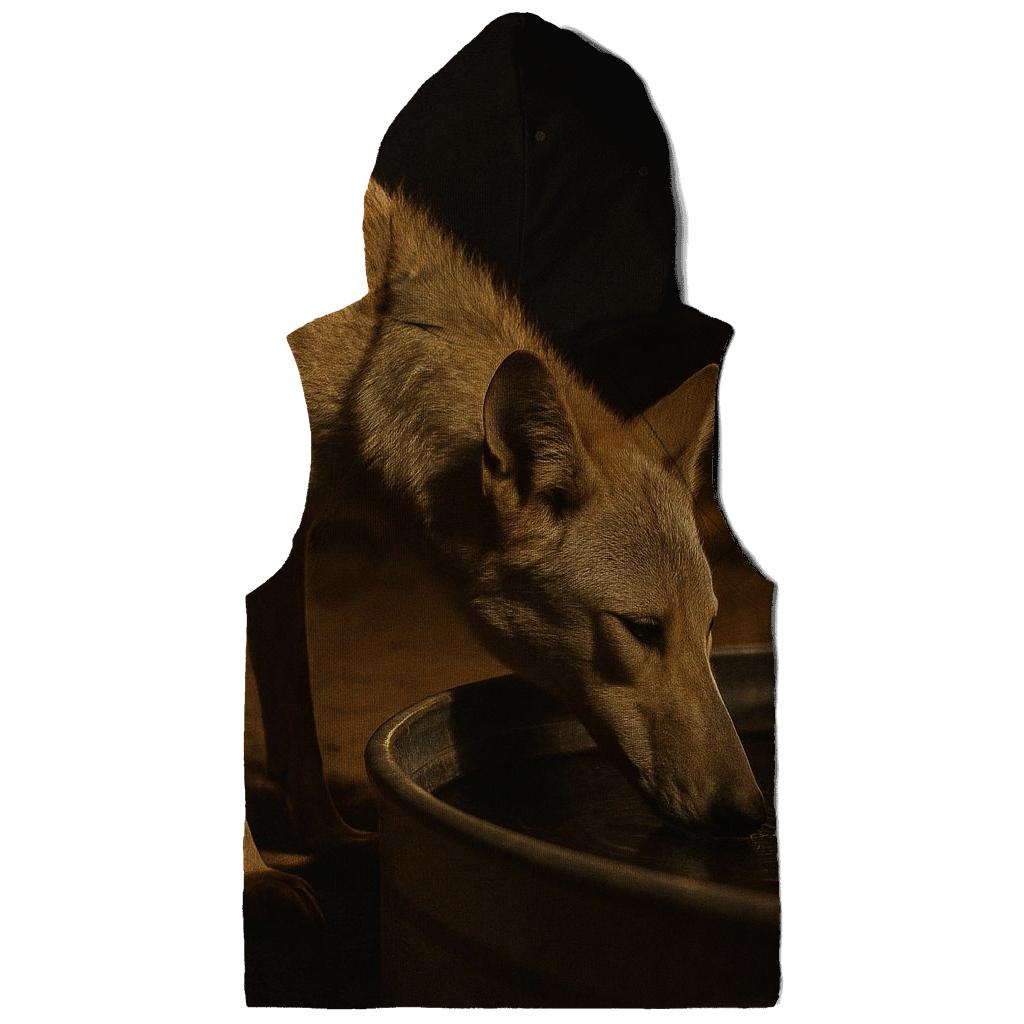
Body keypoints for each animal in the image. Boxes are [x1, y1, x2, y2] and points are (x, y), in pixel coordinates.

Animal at [243, 182, 766, 906]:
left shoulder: (289, 552)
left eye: (711, 629)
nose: (751, 815)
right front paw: (256, 878)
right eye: (642, 630)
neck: (364, 356)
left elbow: (297, 721)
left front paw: (328, 838)